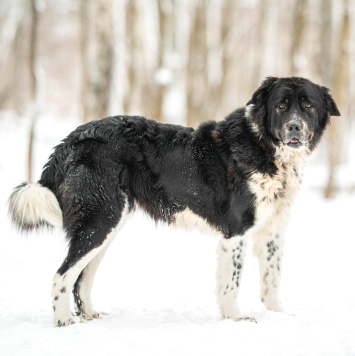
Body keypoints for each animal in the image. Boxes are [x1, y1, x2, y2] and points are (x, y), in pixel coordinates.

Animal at [8, 77, 340, 326]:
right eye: (281, 105)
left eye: (307, 105)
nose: (295, 127)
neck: (265, 147)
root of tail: (74, 138)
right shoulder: (236, 233)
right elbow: (232, 282)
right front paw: (235, 318)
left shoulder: (272, 232)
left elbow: (272, 278)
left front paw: (278, 316)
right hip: (100, 221)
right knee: (62, 274)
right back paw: (63, 321)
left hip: (109, 225)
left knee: (82, 277)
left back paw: (90, 315)